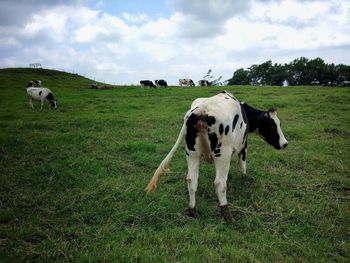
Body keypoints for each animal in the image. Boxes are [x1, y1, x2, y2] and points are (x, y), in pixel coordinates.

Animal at [146, 91, 288, 223]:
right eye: (272, 125)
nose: (285, 143)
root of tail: (201, 109)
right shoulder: (243, 146)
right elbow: (243, 166)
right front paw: (244, 181)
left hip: (192, 153)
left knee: (191, 179)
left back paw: (193, 211)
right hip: (222, 154)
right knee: (219, 183)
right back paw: (227, 214)